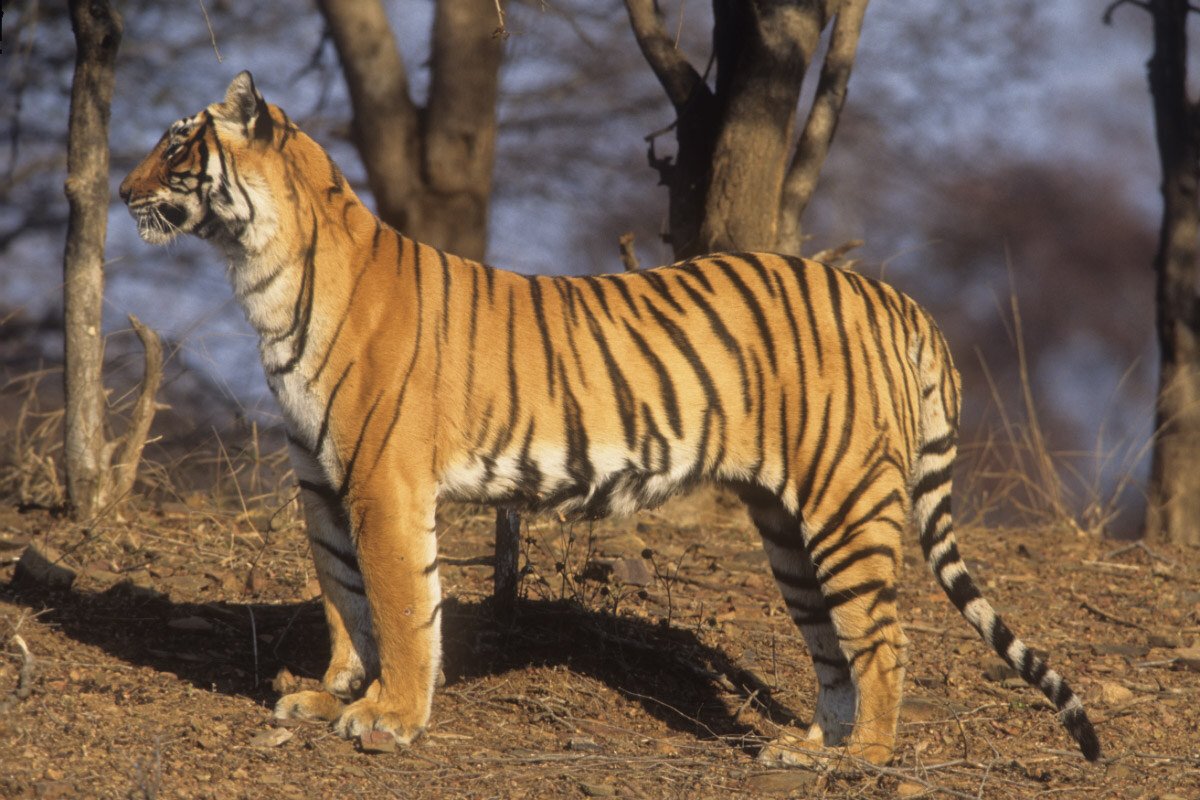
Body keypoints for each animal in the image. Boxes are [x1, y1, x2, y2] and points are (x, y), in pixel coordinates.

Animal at [119, 71, 1100, 766]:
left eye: (175, 146)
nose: (118, 191)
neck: (262, 272)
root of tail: (895, 299)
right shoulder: (323, 484)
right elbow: (344, 601)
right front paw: (331, 696)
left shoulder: (382, 484)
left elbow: (399, 606)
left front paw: (388, 718)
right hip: (787, 526)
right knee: (832, 649)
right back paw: (805, 748)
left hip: (846, 501)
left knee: (885, 640)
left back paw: (860, 760)